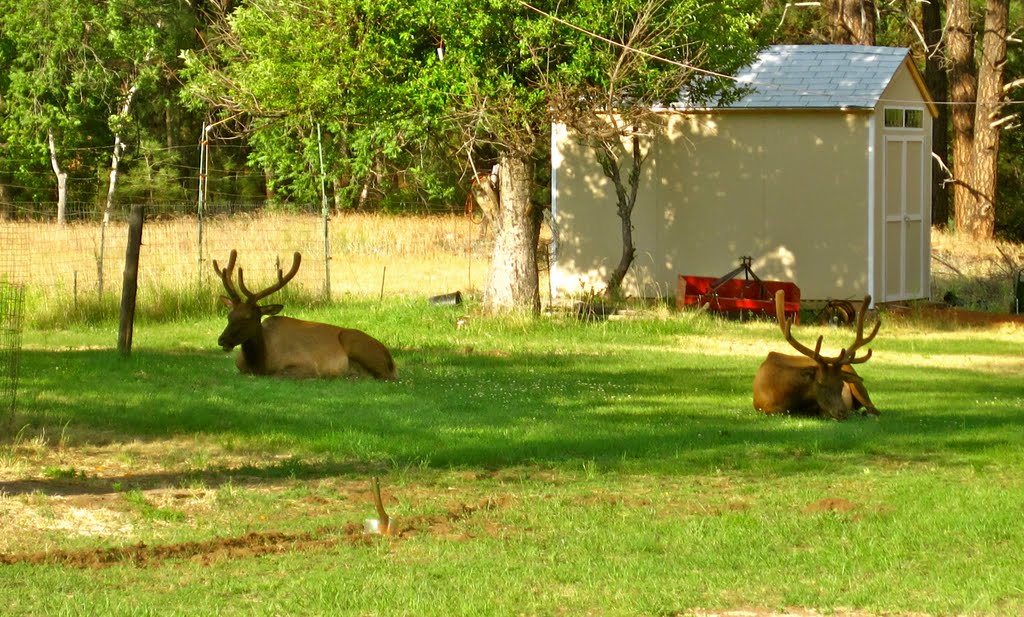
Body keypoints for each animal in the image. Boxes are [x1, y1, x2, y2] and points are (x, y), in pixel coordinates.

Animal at [211, 248, 395, 378]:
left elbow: (279, 374)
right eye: (229, 316)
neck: (259, 364)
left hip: (356, 344)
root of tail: (391, 360)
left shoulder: (306, 364)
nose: (222, 340)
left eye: (248, 318)